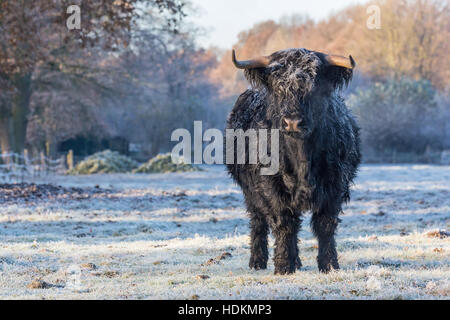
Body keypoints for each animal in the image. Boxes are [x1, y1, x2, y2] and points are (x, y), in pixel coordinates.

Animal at [227, 48, 360, 274]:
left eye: (314, 88)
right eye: (278, 89)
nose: (293, 122)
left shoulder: (336, 185)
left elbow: (325, 224)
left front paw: (329, 265)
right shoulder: (271, 187)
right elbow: (284, 223)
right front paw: (283, 266)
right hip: (250, 192)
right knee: (258, 221)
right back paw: (257, 261)